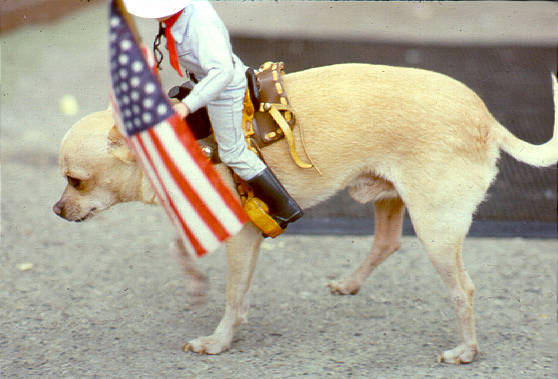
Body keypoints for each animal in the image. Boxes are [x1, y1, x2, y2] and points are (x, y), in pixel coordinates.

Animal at [52, 63, 558, 366]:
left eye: (76, 180)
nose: (56, 209)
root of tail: (486, 119)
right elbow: (192, 255)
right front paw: (199, 290)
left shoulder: (242, 237)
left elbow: (233, 296)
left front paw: (219, 340)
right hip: (390, 199)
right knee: (387, 242)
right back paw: (351, 283)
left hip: (434, 229)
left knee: (463, 290)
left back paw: (466, 350)